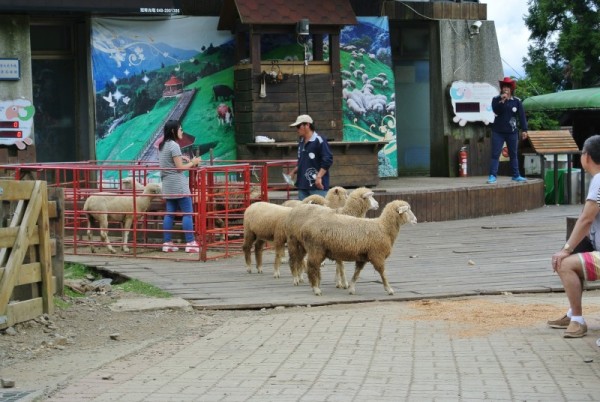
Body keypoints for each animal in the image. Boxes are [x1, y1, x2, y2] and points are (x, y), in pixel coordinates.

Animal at [284, 199, 414, 296]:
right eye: (407, 210)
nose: (415, 219)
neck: (383, 227)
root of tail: (305, 227)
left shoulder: (363, 257)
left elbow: (357, 273)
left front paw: (351, 288)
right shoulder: (377, 255)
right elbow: (383, 273)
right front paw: (389, 289)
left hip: (314, 249)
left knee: (310, 264)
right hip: (314, 248)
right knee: (310, 266)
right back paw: (315, 288)